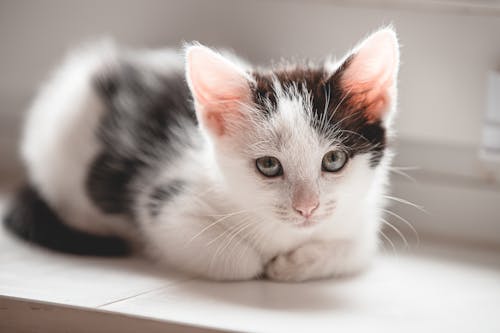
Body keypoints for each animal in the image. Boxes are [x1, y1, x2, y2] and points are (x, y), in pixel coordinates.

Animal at [3, 27, 400, 280]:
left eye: (333, 160)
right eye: (268, 165)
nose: (307, 208)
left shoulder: (362, 216)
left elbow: (358, 249)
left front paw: (294, 264)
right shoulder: (164, 205)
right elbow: (240, 261)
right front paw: (265, 263)